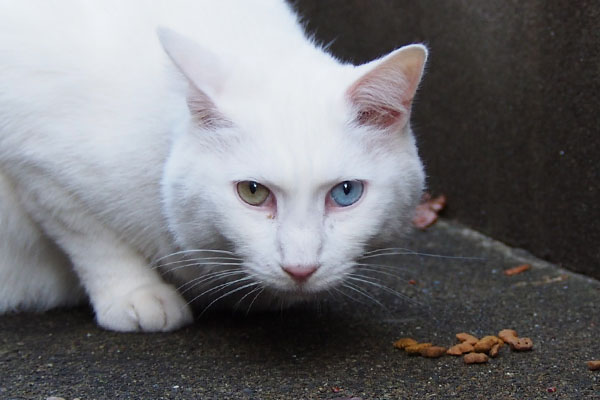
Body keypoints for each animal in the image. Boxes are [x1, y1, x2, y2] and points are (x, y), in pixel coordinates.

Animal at [2, 0, 428, 332]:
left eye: (346, 193)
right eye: (252, 192)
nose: (300, 268)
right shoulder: (36, 164)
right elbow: (94, 240)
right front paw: (137, 295)